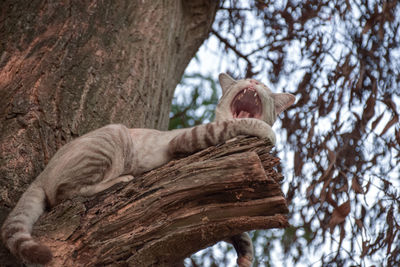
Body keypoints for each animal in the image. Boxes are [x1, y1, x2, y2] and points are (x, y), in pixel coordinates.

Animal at [0, 73, 294, 267]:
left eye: (263, 85)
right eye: (246, 79)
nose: (254, 83)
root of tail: (42, 173)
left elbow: (239, 229)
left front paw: (246, 257)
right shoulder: (189, 138)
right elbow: (234, 128)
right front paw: (269, 135)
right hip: (113, 136)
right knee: (66, 192)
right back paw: (121, 179)